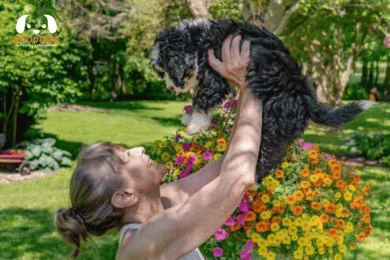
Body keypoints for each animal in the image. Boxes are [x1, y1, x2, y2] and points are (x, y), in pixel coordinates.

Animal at [151, 18, 370, 183]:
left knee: (270, 151)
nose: (170, 88)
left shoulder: (214, 75)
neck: (197, 39)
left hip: (273, 120)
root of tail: (305, 98)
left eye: (166, 69)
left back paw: (254, 178)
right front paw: (189, 118)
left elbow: (202, 99)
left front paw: (194, 124)